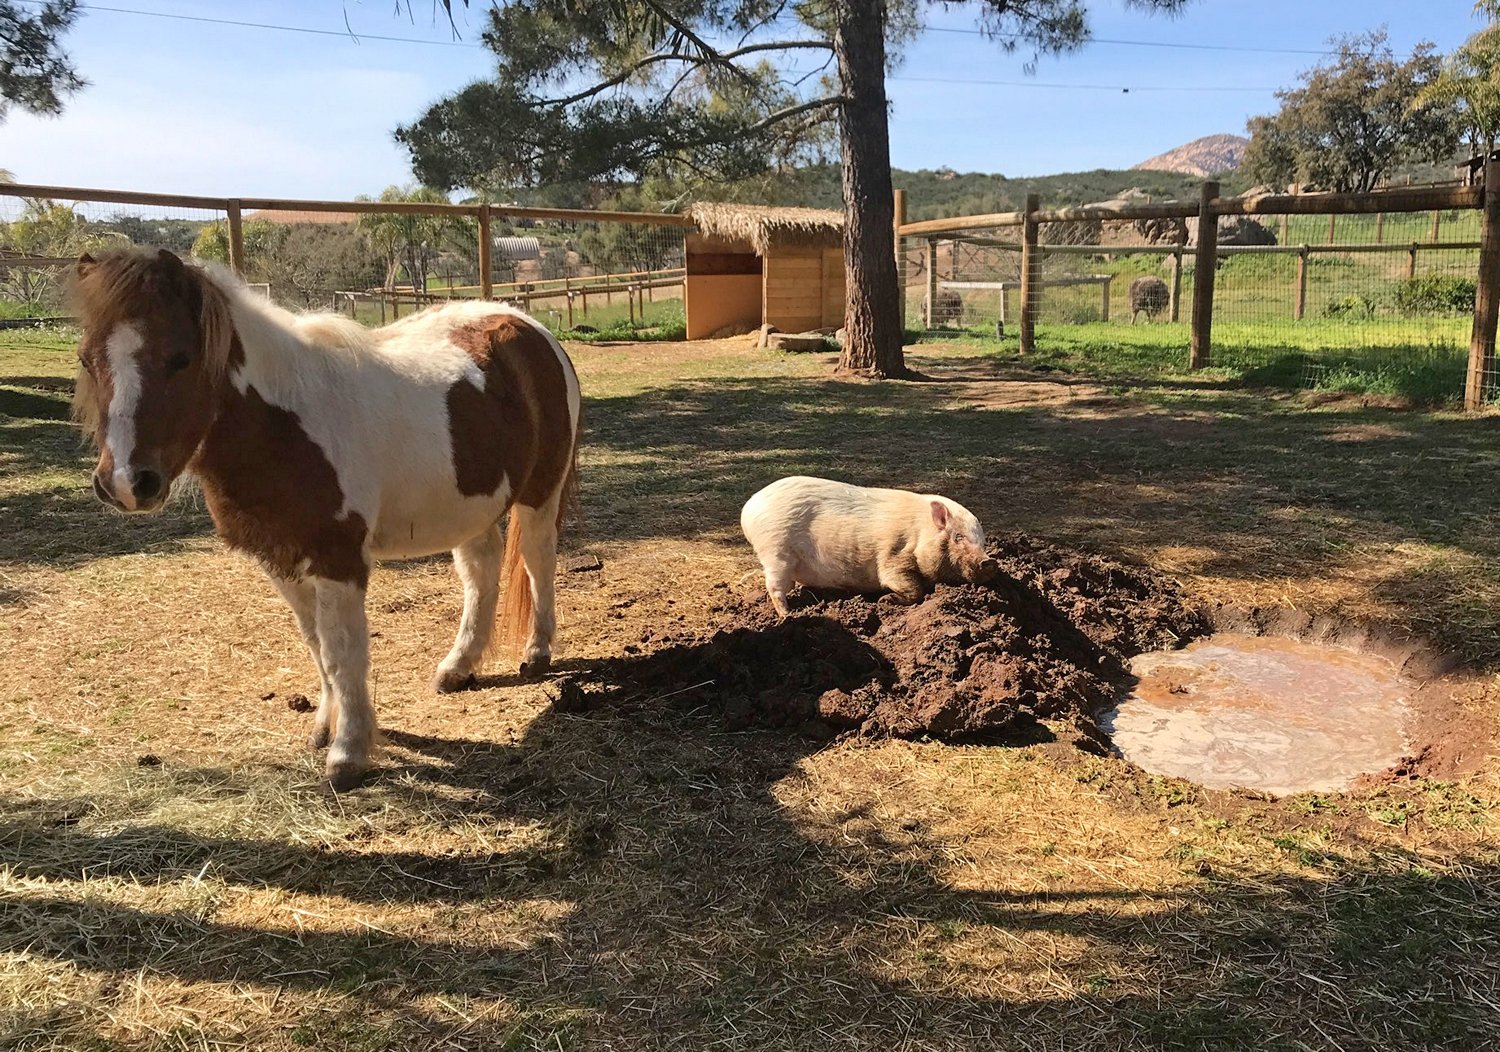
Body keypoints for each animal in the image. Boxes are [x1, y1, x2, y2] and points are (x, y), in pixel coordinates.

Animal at [73, 246, 582, 786]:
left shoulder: (338, 560)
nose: (126, 484)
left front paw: (348, 753)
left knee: (538, 563)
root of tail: (529, 325)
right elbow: (317, 646)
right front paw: (325, 728)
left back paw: (537, 654)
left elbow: (342, 652)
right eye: (86, 359)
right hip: (468, 505)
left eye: (180, 358)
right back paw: (457, 667)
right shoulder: (279, 561)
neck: (282, 426)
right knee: (481, 573)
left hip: (540, 494)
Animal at [735, 477, 996, 615]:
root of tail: (749, 508)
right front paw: (884, 601)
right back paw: (789, 615)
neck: (921, 532)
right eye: (958, 537)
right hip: (775, 552)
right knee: (775, 588)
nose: (989, 561)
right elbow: (912, 588)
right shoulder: (894, 557)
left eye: (983, 540)